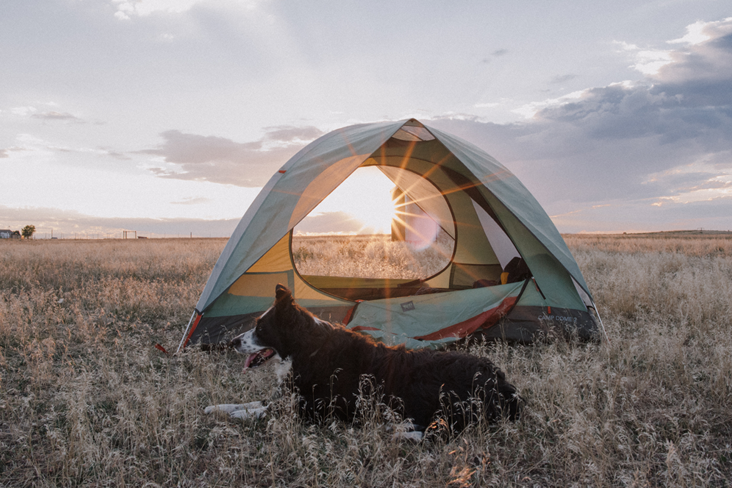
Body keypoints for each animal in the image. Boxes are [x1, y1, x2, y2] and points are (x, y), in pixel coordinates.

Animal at [206, 284, 520, 440]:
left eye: (261, 328)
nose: (233, 342)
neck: (308, 350)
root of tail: (502, 382)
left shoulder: (315, 410)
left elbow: (260, 411)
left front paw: (231, 415)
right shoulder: (291, 396)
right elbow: (252, 402)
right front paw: (217, 407)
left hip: (448, 400)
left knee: (440, 431)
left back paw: (398, 432)